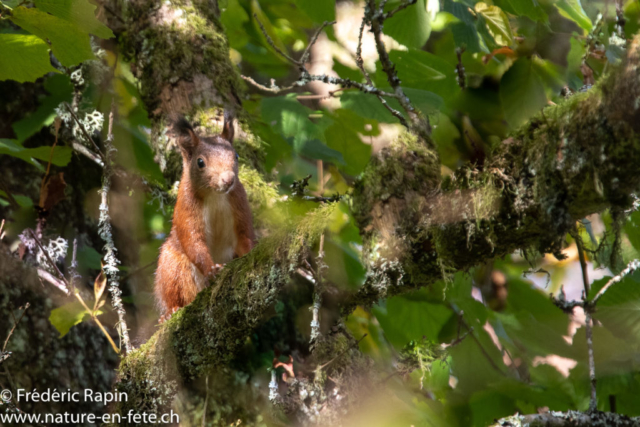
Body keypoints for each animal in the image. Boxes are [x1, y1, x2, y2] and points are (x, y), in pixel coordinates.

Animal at [155, 113, 255, 320]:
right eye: (200, 162)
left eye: (236, 156)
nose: (228, 179)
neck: (215, 195)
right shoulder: (187, 208)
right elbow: (194, 242)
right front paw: (211, 270)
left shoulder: (239, 202)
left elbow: (245, 235)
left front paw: (250, 253)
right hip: (171, 266)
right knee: (172, 292)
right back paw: (170, 312)